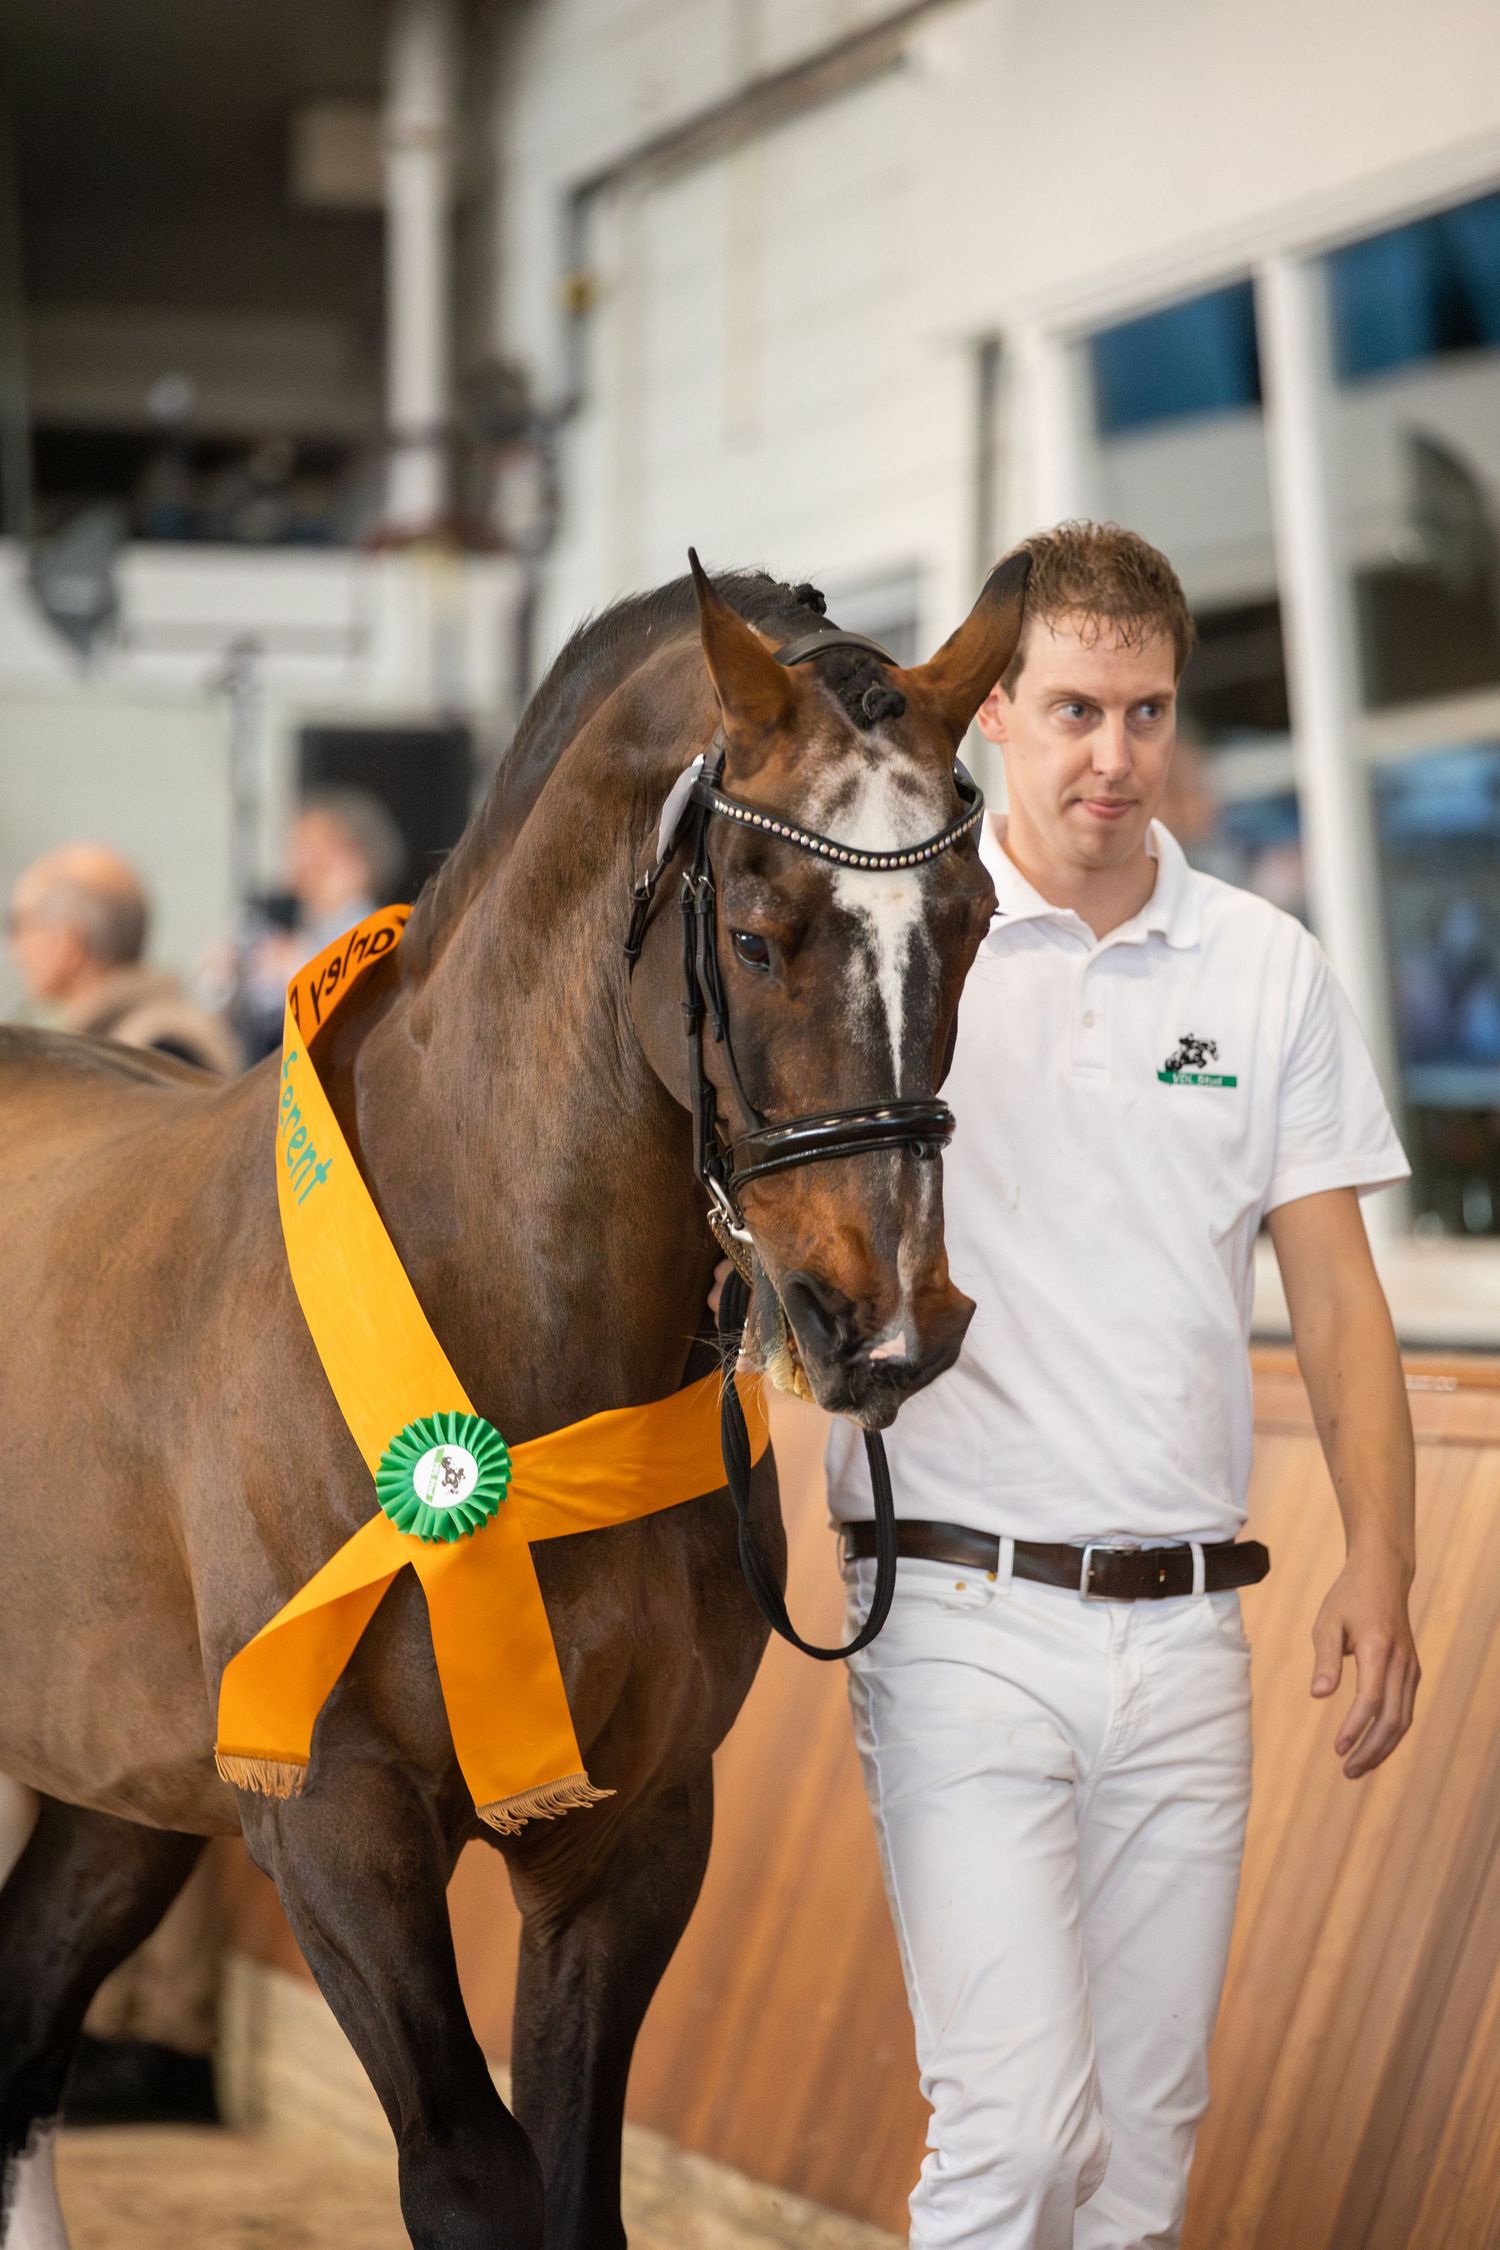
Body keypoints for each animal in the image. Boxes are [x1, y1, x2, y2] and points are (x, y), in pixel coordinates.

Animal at [0, 550, 1026, 2250]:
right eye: (758, 933)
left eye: (976, 917)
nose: (880, 1322)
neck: (509, 1337)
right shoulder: (334, 1822)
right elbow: (474, 2178)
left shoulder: (634, 1833)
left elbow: (570, 2185)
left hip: (115, 1781)